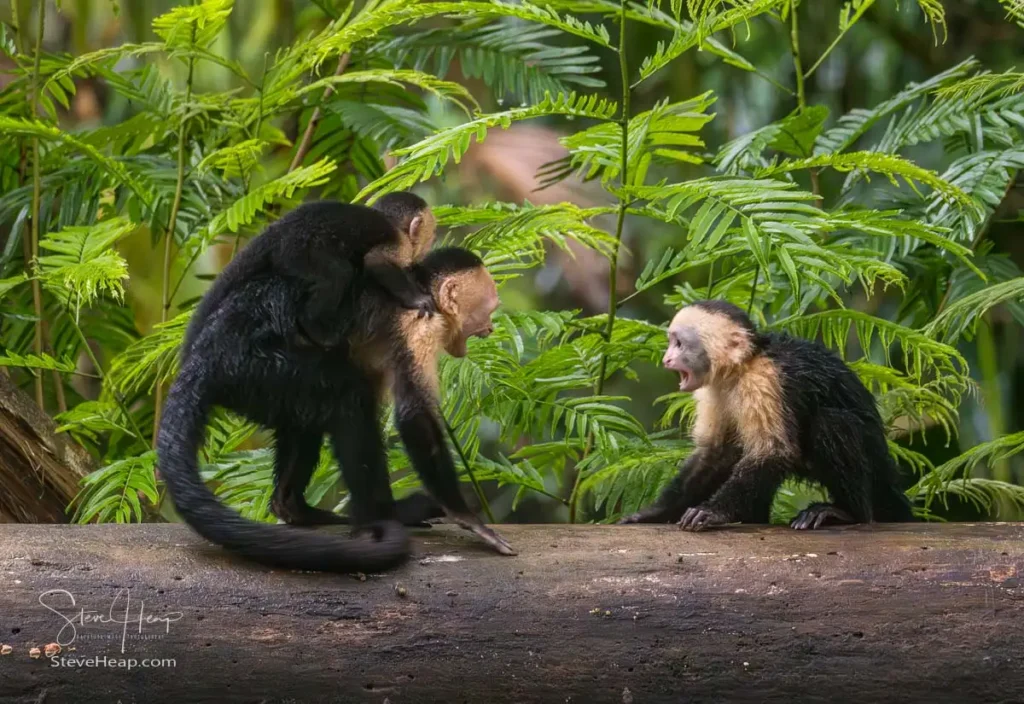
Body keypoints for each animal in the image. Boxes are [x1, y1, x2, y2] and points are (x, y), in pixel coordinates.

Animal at [157, 246, 513, 573]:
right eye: (488, 311)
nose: (491, 329)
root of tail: (203, 357)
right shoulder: (421, 324)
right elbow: (414, 417)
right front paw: (465, 517)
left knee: (311, 418)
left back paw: (293, 507)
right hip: (254, 368)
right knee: (348, 398)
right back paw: (380, 518)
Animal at [181, 192, 438, 356]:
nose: (429, 244)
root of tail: (277, 230)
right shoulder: (399, 241)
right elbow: (377, 262)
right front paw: (417, 299)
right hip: (297, 252)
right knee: (338, 274)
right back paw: (316, 329)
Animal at [620, 300, 914, 531]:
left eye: (679, 344)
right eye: (671, 343)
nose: (666, 360)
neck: (742, 367)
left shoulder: (763, 381)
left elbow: (773, 452)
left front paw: (713, 512)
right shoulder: (713, 389)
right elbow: (715, 454)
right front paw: (653, 513)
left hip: (876, 470)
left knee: (833, 422)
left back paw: (848, 513)